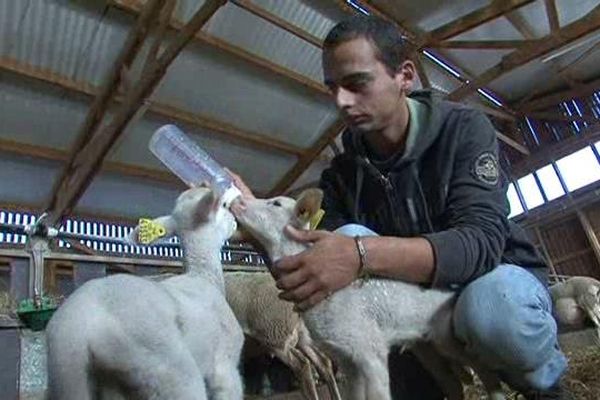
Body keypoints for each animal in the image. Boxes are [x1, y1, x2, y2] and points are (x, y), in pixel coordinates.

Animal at [46, 188, 244, 400]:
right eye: (224, 205)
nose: (235, 221)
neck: (203, 276)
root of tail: (76, 326)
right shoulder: (226, 366)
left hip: (86, 382)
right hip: (168, 366)